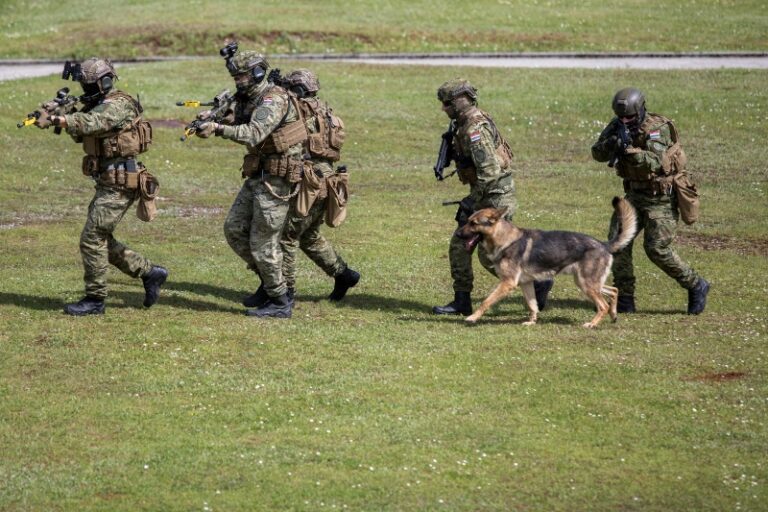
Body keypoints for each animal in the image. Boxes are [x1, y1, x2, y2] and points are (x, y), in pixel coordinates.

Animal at [456, 196, 636, 328]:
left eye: (473, 223)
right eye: (468, 220)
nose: (457, 234)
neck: (504, 239)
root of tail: (603, 244)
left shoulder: (507, 283)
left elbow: (486, 301)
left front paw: (473, 317)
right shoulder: (526, 283)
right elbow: (532, 304)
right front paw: (532, 321)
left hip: (587, 284)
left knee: (603, 305)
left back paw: (592, 324)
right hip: (586, 283)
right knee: (614, 290)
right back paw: (613, 315)